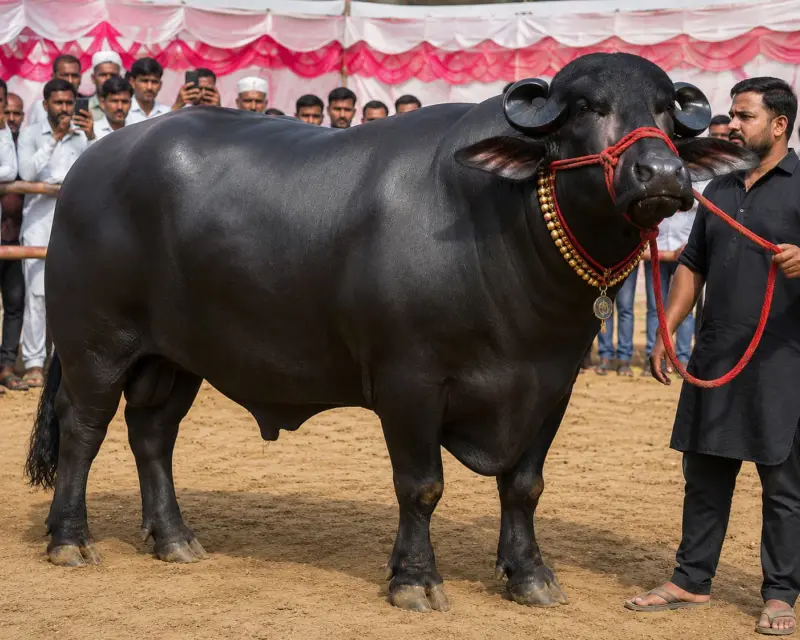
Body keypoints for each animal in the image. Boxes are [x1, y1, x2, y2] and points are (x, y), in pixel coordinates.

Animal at [25, 52, 755, 613]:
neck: (504, 238)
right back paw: (70, 541)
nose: (663, 174)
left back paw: (175, 538)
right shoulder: (410, 383)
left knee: (152, 434)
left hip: (175, 357)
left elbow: (524, 486)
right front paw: (416, 580)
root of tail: (90, 167)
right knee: (83, 428)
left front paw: (531, 576)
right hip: (96, 345)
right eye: (584, 108)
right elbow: (421, 485)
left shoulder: (550, 387)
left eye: (666, 112)